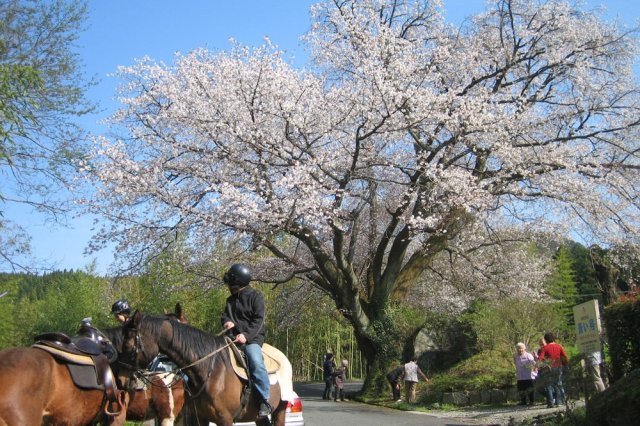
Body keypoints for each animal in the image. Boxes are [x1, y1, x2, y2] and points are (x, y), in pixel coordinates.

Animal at [120, 310, 290, 426]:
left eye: (128, 345)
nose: (122, 380)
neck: (209, 370)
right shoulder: (200, 418)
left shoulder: (225, 419)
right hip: (258, 416)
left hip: (280, 409)